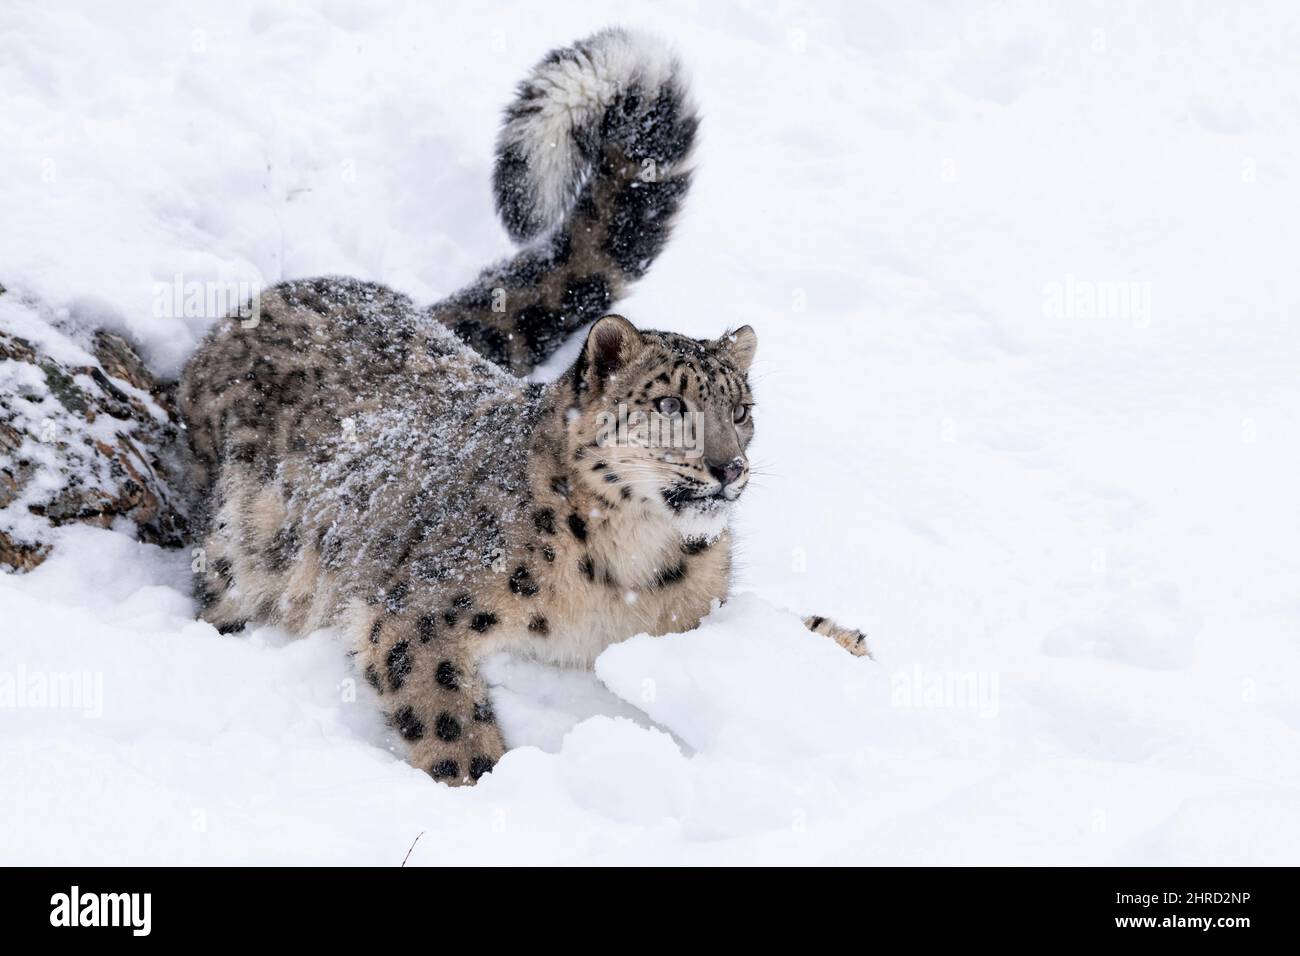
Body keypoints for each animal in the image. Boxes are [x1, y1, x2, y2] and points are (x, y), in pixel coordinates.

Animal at [175, 27, 863, 785]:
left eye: (741, 410)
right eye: (670, 404)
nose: (729, 468)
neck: (633, 564)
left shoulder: (695, 616)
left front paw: (846, 642)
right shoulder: (420, 610)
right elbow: (447, 719)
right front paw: (487, 784)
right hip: (237, 542)